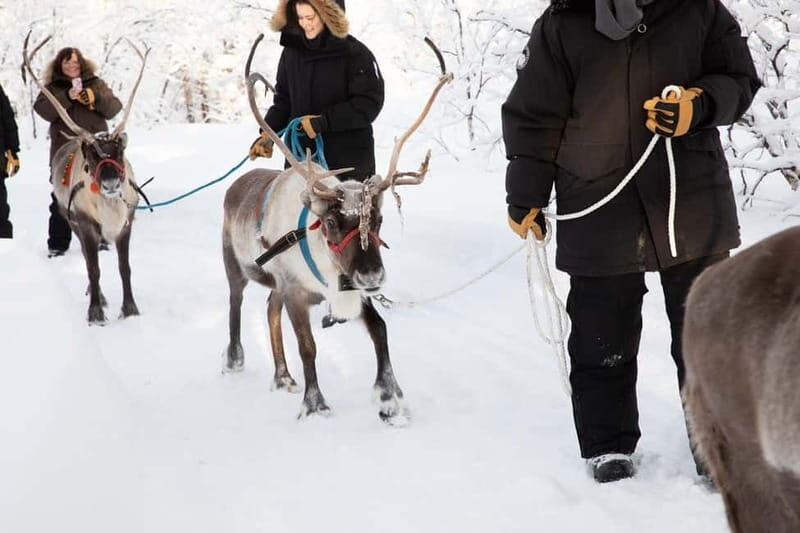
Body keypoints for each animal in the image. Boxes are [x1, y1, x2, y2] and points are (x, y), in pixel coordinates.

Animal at [221, 35, 452, 425]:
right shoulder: (297, 291)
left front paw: (389, 398)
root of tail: (236, 184)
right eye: (331, 222)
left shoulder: (349, 287)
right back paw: (235, 359)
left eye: (378, 219)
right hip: (235, 266)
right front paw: (315, 404)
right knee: (236, 303)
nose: (373, 276)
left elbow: (380, 330)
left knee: (269, 309)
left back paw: (282, 376)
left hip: (278, 285)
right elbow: (308, 346)